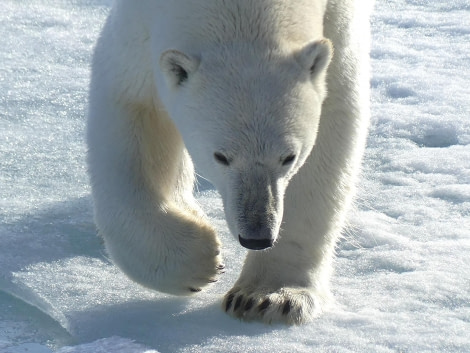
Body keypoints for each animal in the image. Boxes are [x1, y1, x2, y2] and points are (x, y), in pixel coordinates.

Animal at [87, 0, 374, 324]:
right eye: (220, 156)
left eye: (289, 156)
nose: (257, 236)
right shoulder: (138, 24)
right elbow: (128, 104)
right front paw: (198, 261)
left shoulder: (339, 20)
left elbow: (334, 119)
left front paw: (269, 296)